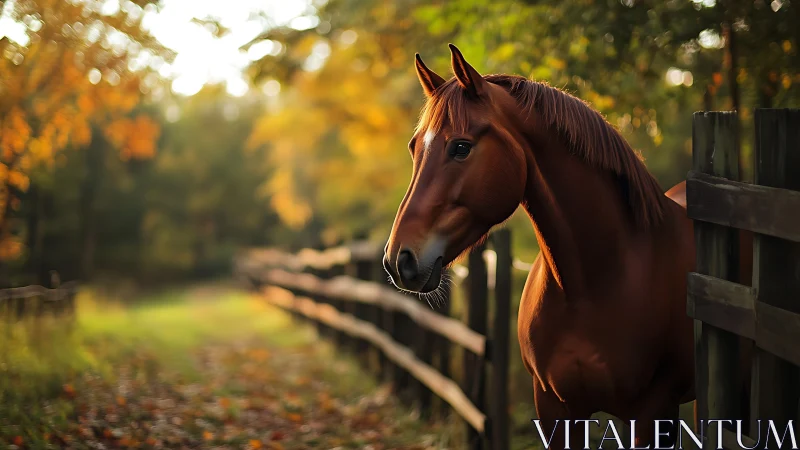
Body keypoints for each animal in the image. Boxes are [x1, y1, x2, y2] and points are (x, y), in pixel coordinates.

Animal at [382, 44, 752, 448]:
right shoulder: (554, 409)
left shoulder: (653, 412)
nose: (399, 258)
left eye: (461, 147)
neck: (594, 284)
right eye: (414, 147)